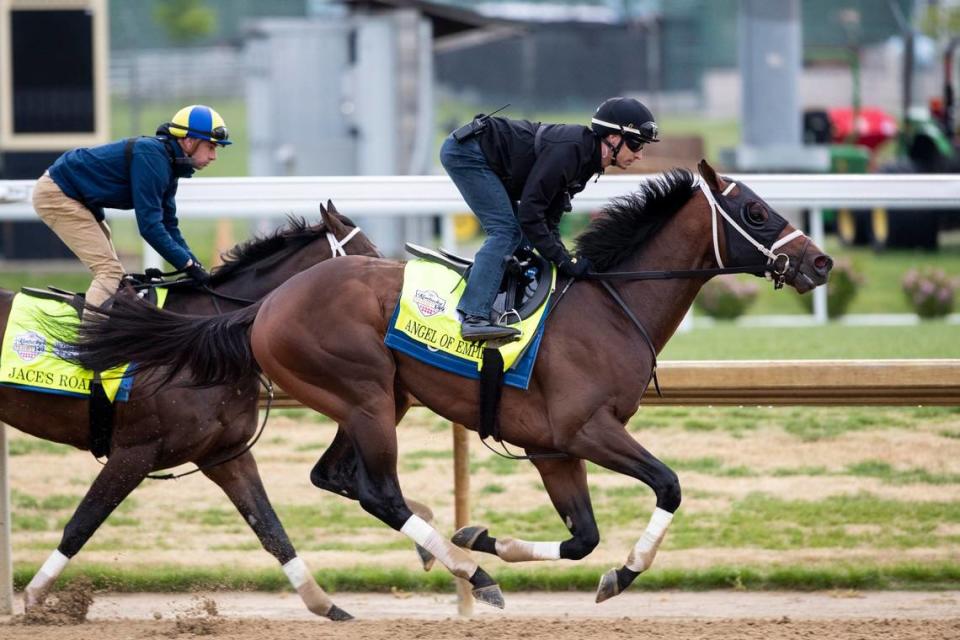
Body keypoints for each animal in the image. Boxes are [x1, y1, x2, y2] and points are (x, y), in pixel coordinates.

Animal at [11, 204, 380, 620]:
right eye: (369, 257)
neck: (201, 341)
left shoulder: (223, 453)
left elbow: (270, 528)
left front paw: (326, 604)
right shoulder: (135, 452)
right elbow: (82, 523)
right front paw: (35, 599)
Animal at [71, 161, 832, 608]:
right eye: (757, 211)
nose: (821, 262)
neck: (609, 306)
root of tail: (266, 304)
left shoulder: (555, 449)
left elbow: (582, 538)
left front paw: (483, 536)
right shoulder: (588, 430)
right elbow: (669, 486)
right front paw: (622, 575)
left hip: (379, 401)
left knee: (339, 478)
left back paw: (462, 559)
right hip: (366, 395)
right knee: (377, 490)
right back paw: (473, 577)